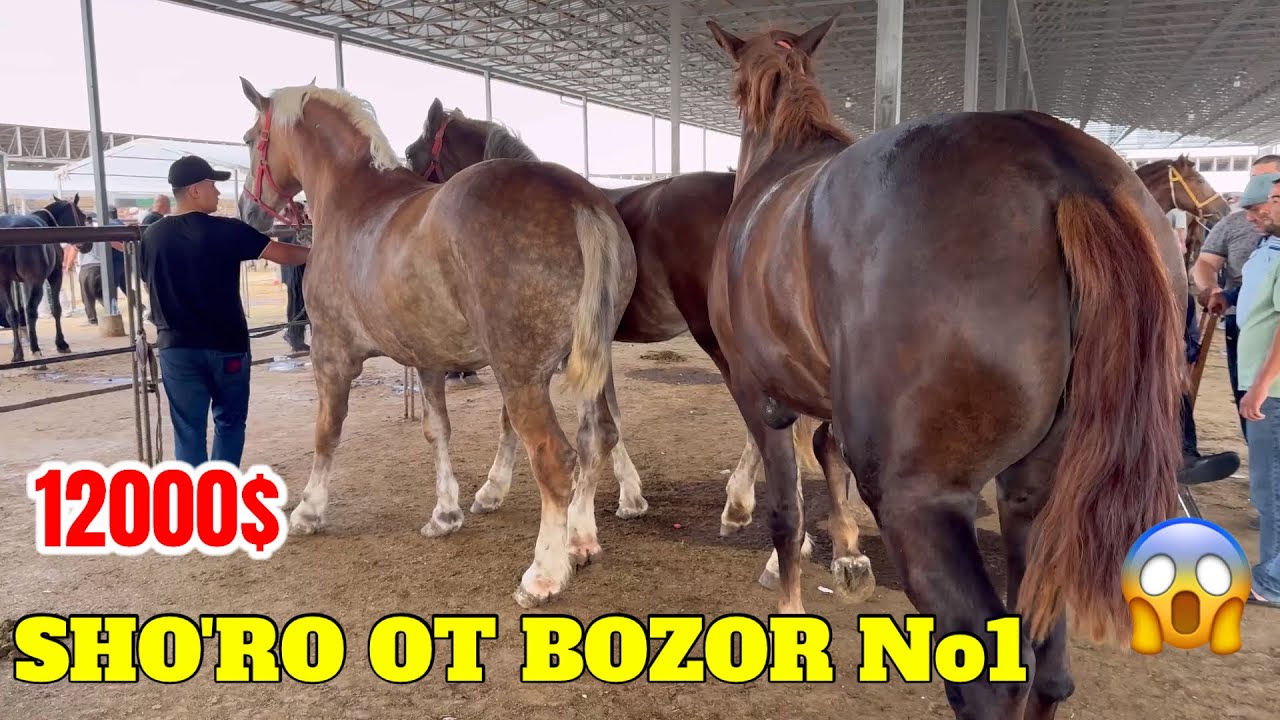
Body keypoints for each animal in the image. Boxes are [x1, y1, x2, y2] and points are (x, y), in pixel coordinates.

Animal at [0, 196, 84, 365]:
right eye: (83, 216)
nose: (87, 246)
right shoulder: (54, 275)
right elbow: (56, 309)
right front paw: (61, 344)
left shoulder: (21, 282)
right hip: (36, 281)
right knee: (31, 311)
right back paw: (35, 352)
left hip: (4, 282)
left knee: (12, 313)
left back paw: (18, 353)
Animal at [235, 77, 637, 608]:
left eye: (247, 140)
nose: (248, 210)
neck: (352, 199)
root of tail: (577, 199)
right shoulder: (427, 358)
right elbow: (437, 431)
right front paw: (446, 513)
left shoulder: (332, 355)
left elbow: (327, 432)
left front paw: (308, 511)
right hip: (586, 360)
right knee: (598, 437)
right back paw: (581, 539)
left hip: (522, 373)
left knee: (555, 458)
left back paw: (544, 574)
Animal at [405, 102, 875, 601]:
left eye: (414, 153)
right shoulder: (593, 349)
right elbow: (606, 419)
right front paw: (628, 496)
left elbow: (527, 421)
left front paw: (495, 492)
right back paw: (831, 546)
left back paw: (753, 519)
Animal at [703, 18, 1186, 719]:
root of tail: (1069, 173)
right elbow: (827, 455)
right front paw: (847, 557)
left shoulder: (754, 388)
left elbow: (787, 504)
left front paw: (788, 598)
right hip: (1039, 501)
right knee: (1050, 670)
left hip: (919, 501)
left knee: (993, 680)